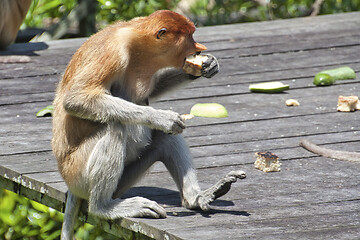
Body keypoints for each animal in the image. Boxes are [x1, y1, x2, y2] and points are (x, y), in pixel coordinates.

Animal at [52, 10, 246, 239]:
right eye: (189, 36)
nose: (200, 48)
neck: (137, 43)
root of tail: (68, 183)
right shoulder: (112, 53)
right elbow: (76, 98)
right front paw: (163, 118)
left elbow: (152, 91)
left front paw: (206, 65)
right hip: (78, 175)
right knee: (115, 126)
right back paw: (104, 207)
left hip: (125, 178)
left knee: (164, 139)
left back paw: (198, 198)